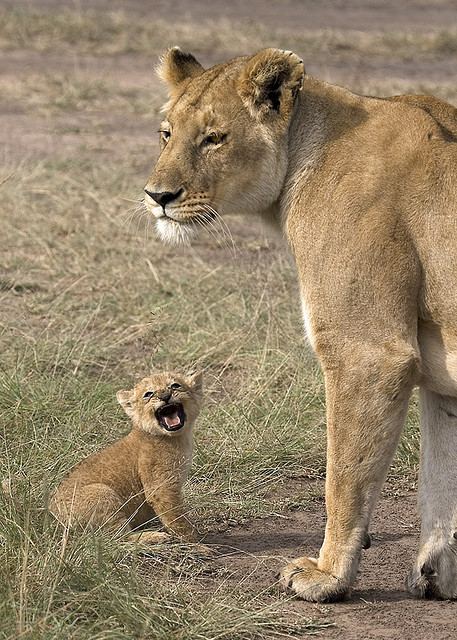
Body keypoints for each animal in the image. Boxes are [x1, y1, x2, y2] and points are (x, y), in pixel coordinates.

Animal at [49, 371, 203, 543]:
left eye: (175, 385)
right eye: (148, 394)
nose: (165, 396)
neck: (179, 438)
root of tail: (52, 521)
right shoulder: (161, 487)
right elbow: (177, 518)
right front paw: (196, 541)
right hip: (102, 494)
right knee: (118, 538)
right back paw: (155, 536)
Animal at [143, 46, 457, 602]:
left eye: (214, 137)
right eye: (166, 133)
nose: (157, 196)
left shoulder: (367, 353)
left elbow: (343, 477)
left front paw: (327, 577)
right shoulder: (438, 374)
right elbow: (440, 481)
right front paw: (436, 575)